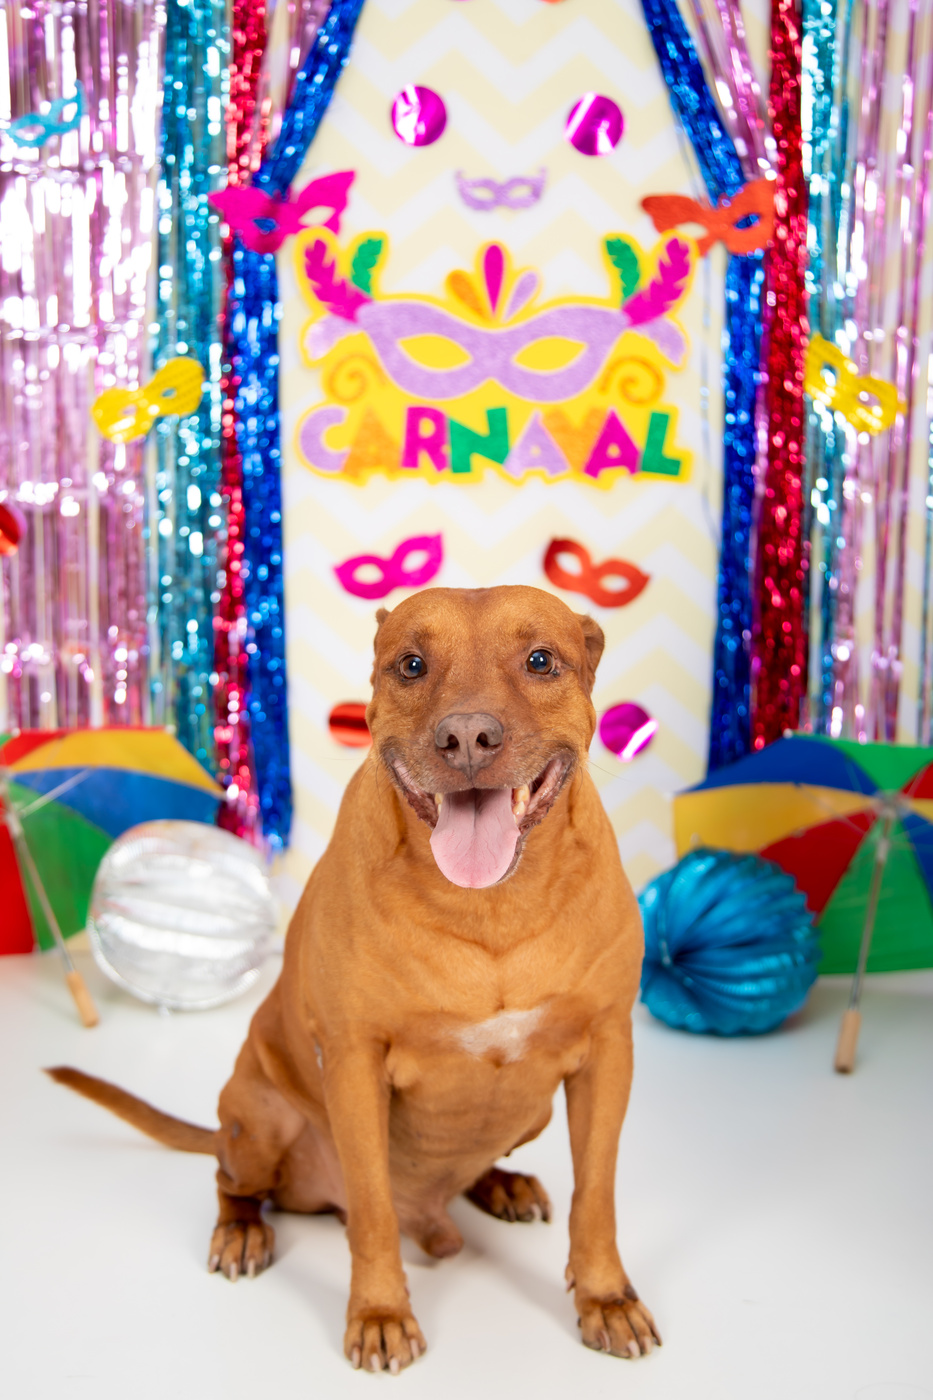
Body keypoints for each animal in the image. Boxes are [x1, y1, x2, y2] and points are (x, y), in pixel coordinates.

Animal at [50, 585, 660, 1372]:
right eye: (411, 664)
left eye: (539, 661)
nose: (467, 736)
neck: (489, 904)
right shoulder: (352, 1064)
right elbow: (371, 1207)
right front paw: (378, 1312)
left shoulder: (607, 1053)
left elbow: (597, 1195)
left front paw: (605, 1297)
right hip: (258, 1114)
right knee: (231, 1181)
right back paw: (241, 1230)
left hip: (530, 1113)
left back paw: (501, 1184)